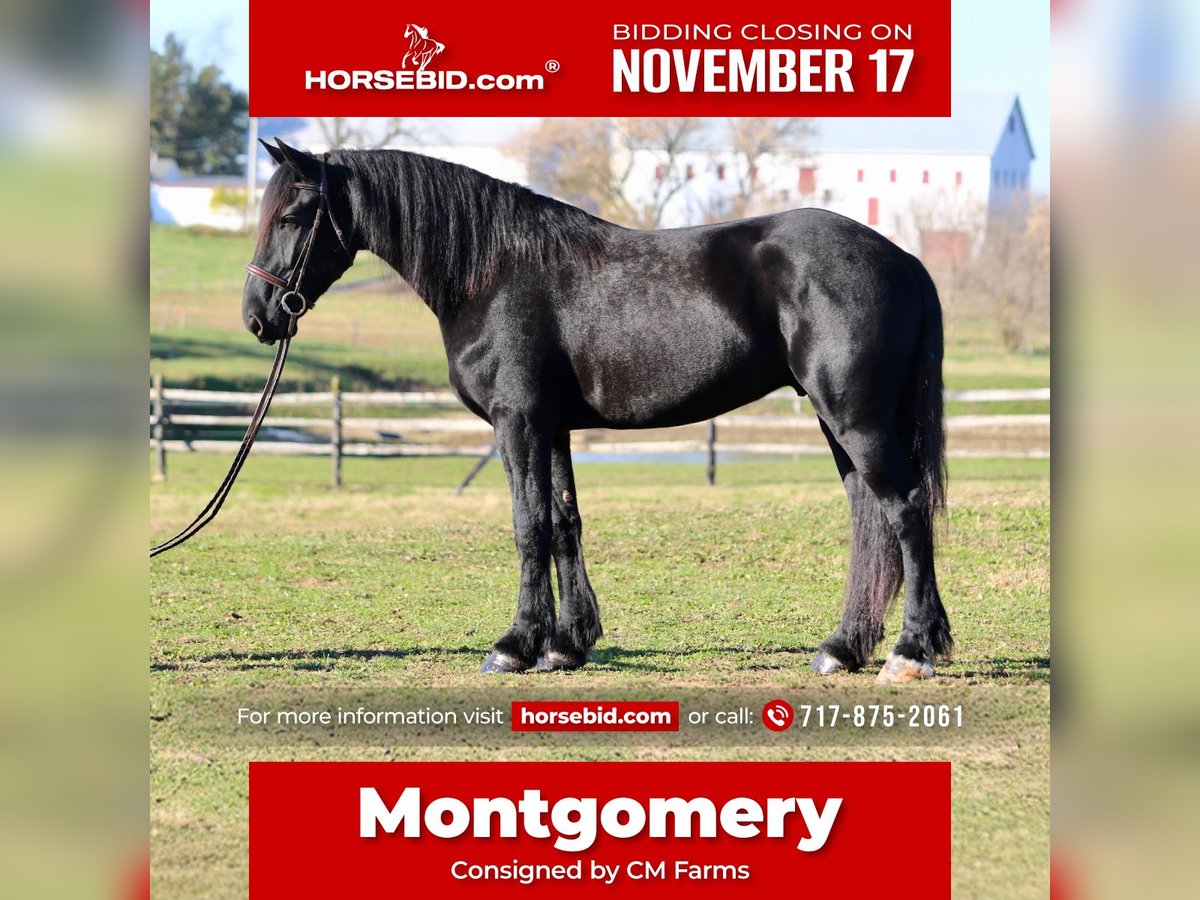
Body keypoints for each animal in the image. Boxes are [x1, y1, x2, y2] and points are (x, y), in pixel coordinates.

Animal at [243, 139, 952, 684]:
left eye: (293, 216)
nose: (258, 316)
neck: (493, 273)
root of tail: (905, 259)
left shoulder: (519, 423)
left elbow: (528, 526)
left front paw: (515, 645)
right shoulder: (553, 428)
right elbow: (564, 523)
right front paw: (565, 644)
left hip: (855, 417)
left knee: (905, 511)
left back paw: (910, 652)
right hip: (839, 421)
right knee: (868, 517)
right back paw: (844, 648)